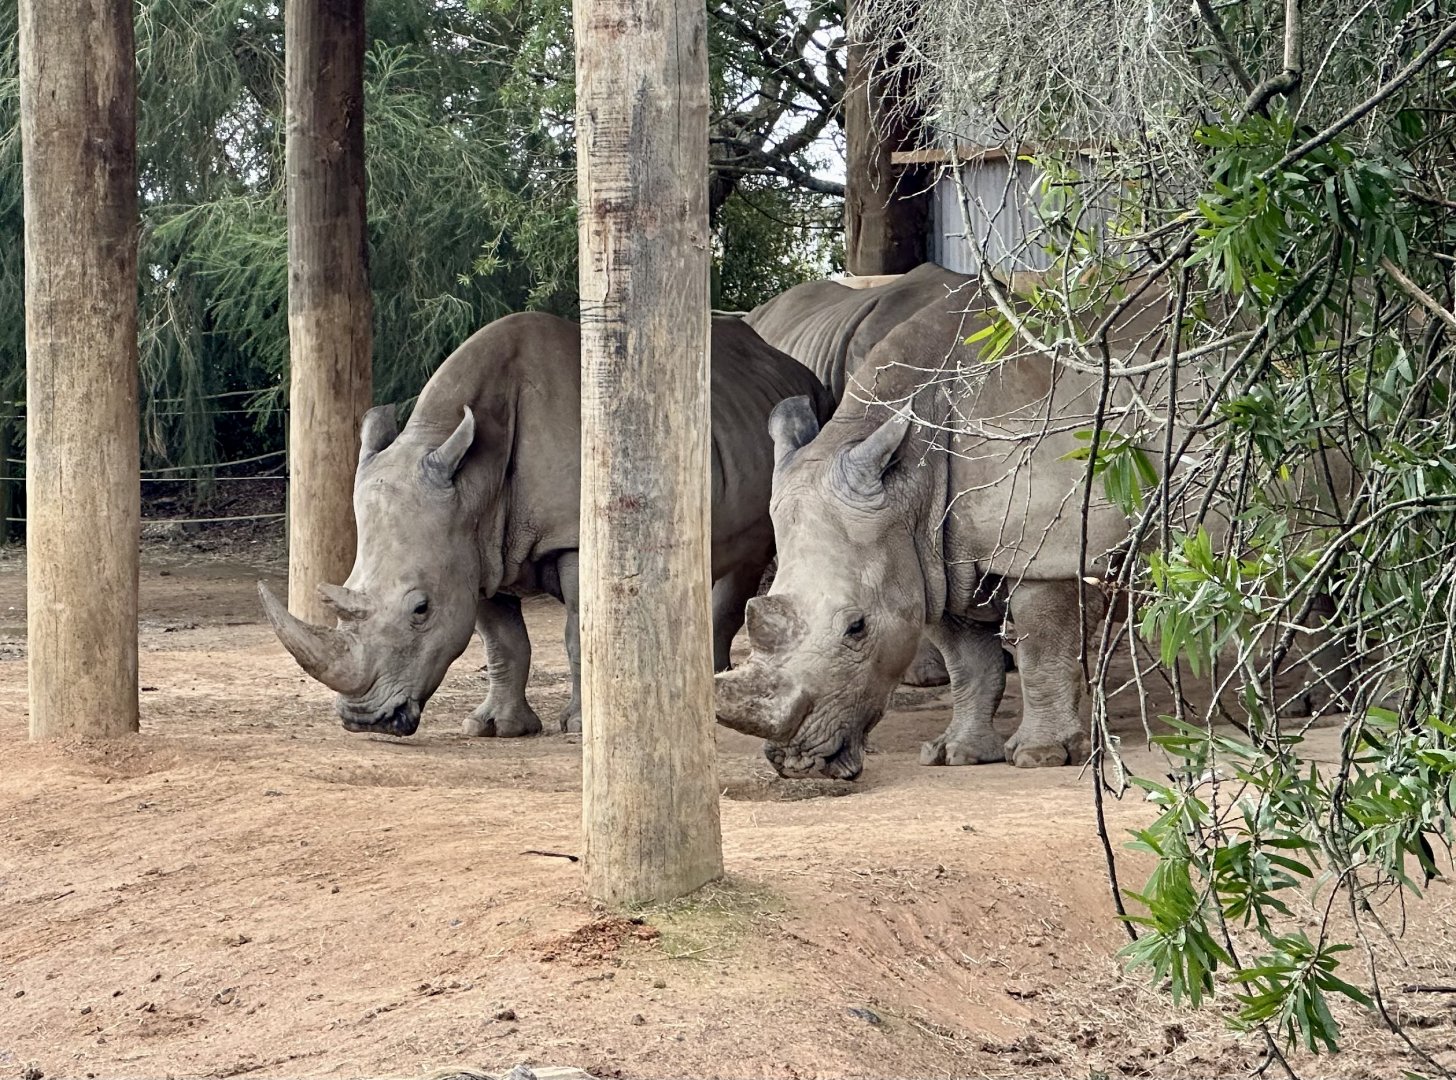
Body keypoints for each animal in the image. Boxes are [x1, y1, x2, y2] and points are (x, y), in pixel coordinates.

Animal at [261, 311, 834, 738]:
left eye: (420, 609)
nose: (363, 720)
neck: (473, 475)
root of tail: (793, 365)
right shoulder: (472, 547)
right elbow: (502, 641)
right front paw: (495, 727)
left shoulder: (570, 540)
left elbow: (579, 632)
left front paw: (579, 727)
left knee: (751, 556)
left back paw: (711, 692)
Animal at [713, 299, 1352, 778]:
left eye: (856, 628)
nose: (794, 764)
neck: (912, 473)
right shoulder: (934, 554)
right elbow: (970, 663)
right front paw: (957, 755)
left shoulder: (1045, 547)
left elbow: (1044, 650)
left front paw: (1039, 757)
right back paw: (1320, 704)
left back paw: (1316, 712)